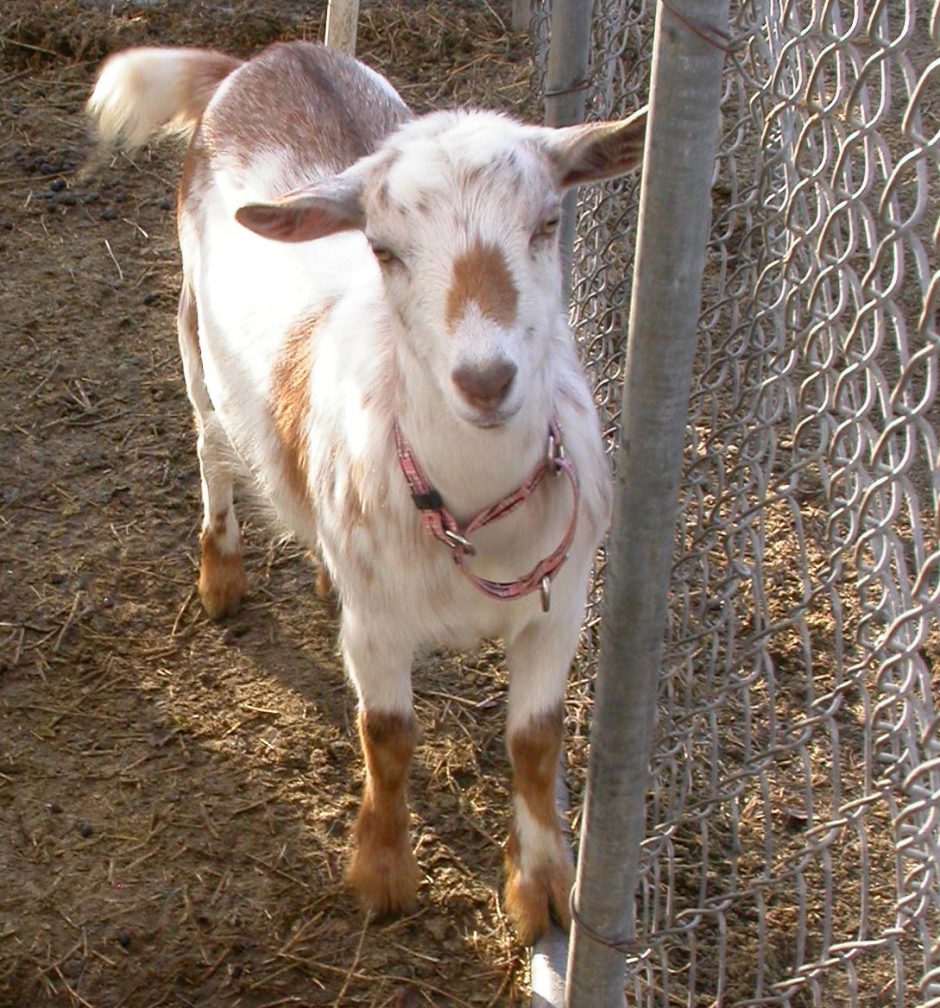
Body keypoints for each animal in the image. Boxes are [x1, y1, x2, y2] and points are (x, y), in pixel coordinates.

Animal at [88, 40, 646, 945]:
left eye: (547, 224)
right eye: (383, 250)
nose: (486, 380)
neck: (475, 515)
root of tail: (261, 58)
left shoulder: (559, 606)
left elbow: (535, 740)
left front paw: (542, 889)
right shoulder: (378, 626)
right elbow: (387, 733)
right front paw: (382, 874)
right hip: (192, 330)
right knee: (210, 448)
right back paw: (220, 573)